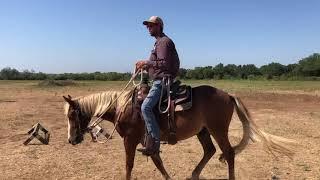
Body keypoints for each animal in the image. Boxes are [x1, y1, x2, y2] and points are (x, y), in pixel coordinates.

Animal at [62, 85, 296, 179]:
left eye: (72, 115)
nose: (71, 140)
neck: (123, 107)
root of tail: (228, 95)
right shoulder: (148, 142)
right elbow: (157, 161)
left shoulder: (130, 140)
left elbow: (129, 165)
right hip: (203, 131)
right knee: (210, 151)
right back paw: (193, 175)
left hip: (218, 129)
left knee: (228, 153)